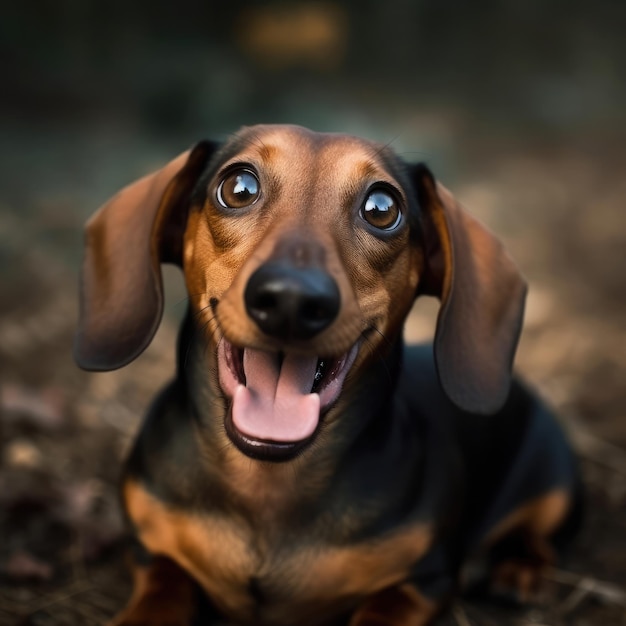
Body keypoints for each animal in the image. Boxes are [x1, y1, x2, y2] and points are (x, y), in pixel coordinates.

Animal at [75, 124, 576, 620]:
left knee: (539, 535)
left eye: (382, 208)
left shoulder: (424, 580)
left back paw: (520, 571)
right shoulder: (149, 549)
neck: (267, 486)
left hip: (556, 488)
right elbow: (163, 585)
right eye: (239, 187)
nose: (291, 301)